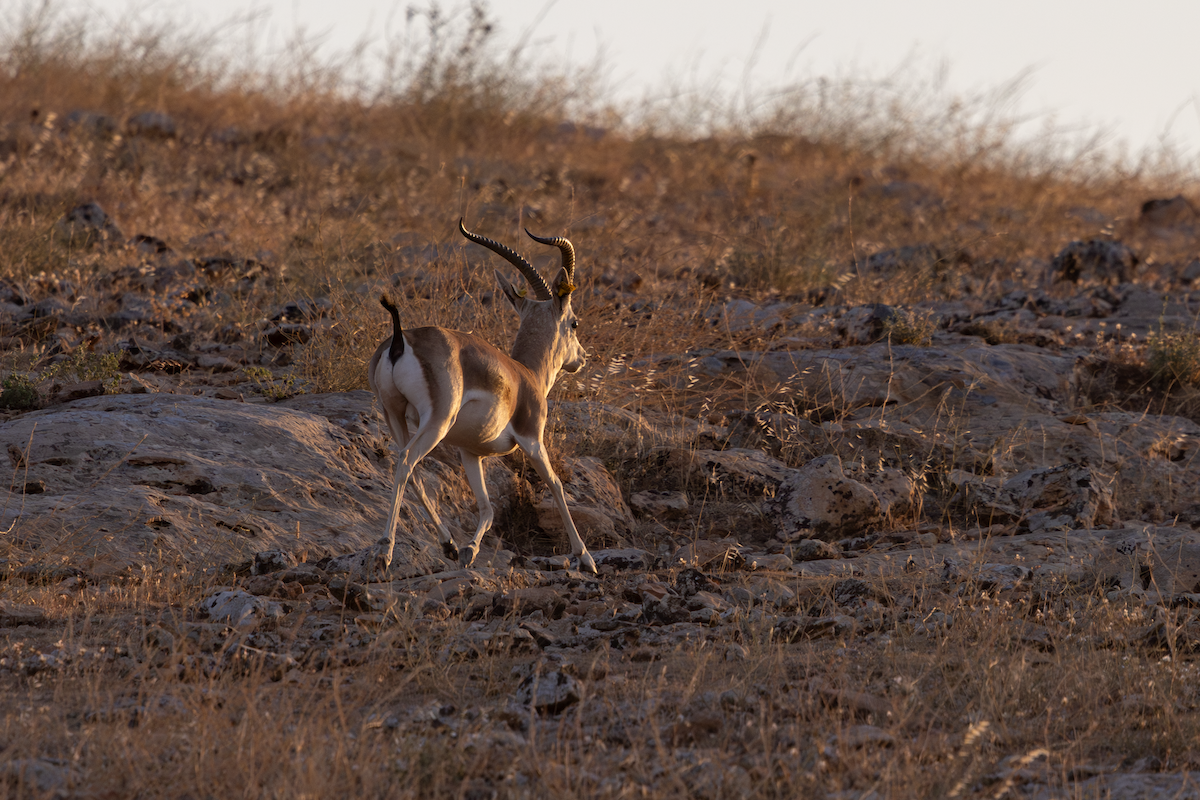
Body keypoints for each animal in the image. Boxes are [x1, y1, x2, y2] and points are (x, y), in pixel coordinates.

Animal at [367, 219, 597, 574]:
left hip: (393, 414)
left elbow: (487, 507)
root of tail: (400, 340)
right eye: (574, 323)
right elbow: (556, 484)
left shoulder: (470, 452)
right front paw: (585, 557)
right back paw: (385, 550)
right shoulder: (533, 439)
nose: (582, 358)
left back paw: (448, 544)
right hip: (437, 421)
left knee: (410, 469)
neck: (526, 375)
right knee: (405, 461)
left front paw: (469, 550)